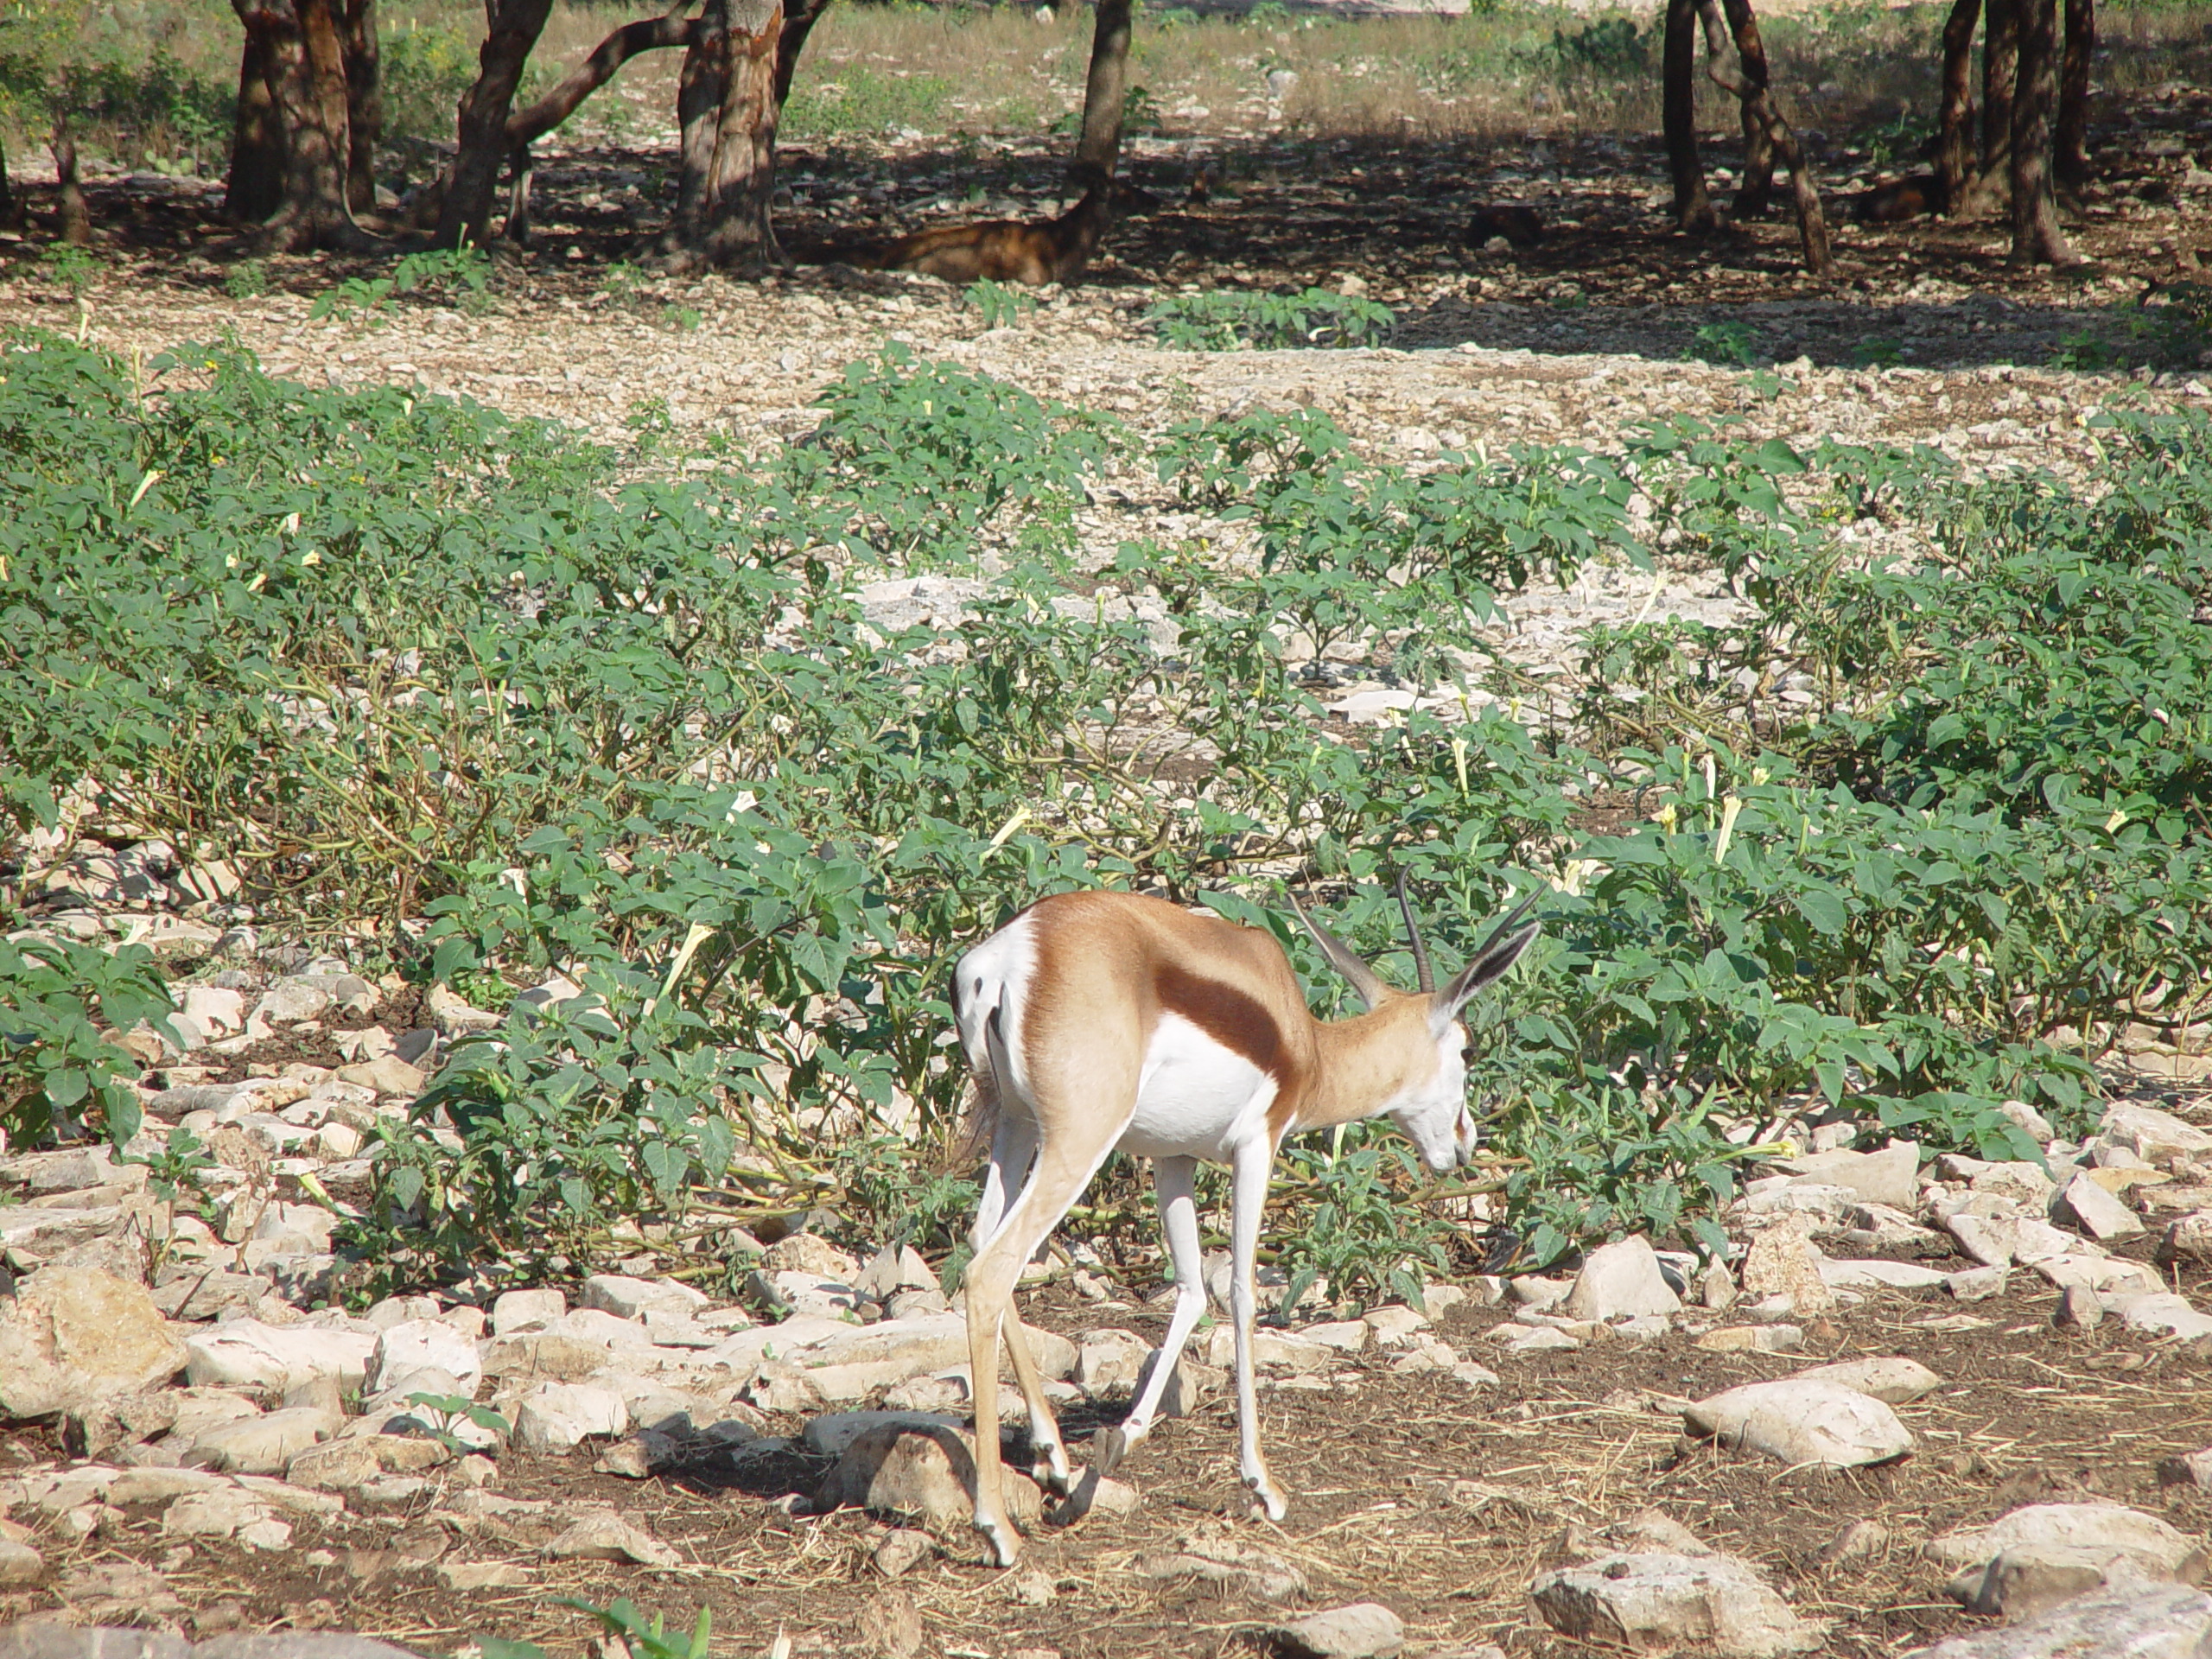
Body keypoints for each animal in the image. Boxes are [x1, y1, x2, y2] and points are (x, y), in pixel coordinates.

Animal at [950, 875, 1539, 1566]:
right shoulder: (1258, 1145)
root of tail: (1016, 952)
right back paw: (998, 1528)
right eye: (1468, 1049)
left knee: (979, 1241)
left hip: (1013, 1124)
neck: (1303, 1042)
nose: (1466, 1143)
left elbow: (1189, 1291)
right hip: (1079, 1137)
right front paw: (1263, 1485)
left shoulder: (1172, 1157)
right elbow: (1239, 1292)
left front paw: (1122, 1439)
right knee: (993, 1269)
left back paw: (1055, 1459)